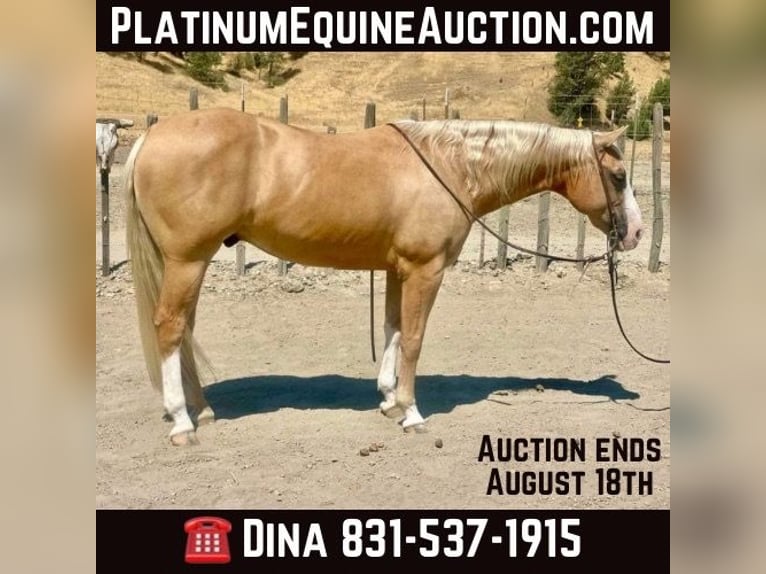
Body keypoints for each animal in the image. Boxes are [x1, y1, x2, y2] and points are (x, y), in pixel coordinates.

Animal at [123, 108, 643, 446]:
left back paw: (202, 410)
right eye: (618, 176)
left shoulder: (398, 269)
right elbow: (413, 338)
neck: (450, 166)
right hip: (187, 260)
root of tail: (152, 136)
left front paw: (390, 400)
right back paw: (182, 423)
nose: (636, 232)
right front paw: (411, 413)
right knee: (170, 327)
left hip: (190, 263)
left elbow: (393, 329)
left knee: (185, 329)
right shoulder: (424, 269)